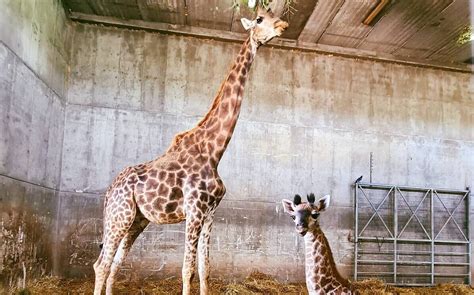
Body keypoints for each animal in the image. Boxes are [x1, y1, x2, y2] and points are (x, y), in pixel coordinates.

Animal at [90, 6, 286, 295]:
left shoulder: (210, 213)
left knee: (115, 263)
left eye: (275, 16)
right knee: (101, 264)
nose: (283, 25)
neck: (214, 151)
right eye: (260, 19)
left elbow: (205, 269)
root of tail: (108, 192)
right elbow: (187, 270)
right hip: (119, 216)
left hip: (136, 220)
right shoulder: (194, 210)